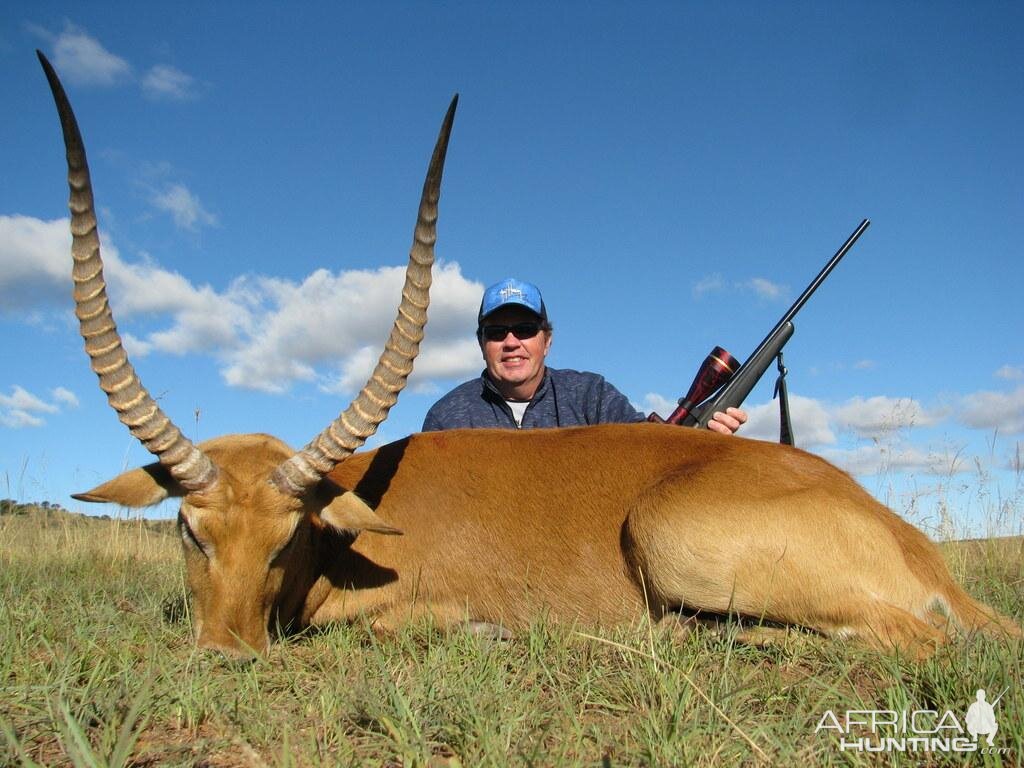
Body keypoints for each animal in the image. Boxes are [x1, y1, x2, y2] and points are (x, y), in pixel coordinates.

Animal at [37, 51, 1015, 659]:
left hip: (674, 539)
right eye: (189, 530)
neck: (351, 530)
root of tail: (909, 538)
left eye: (290, 537)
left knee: (916, 639)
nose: (227, 655)